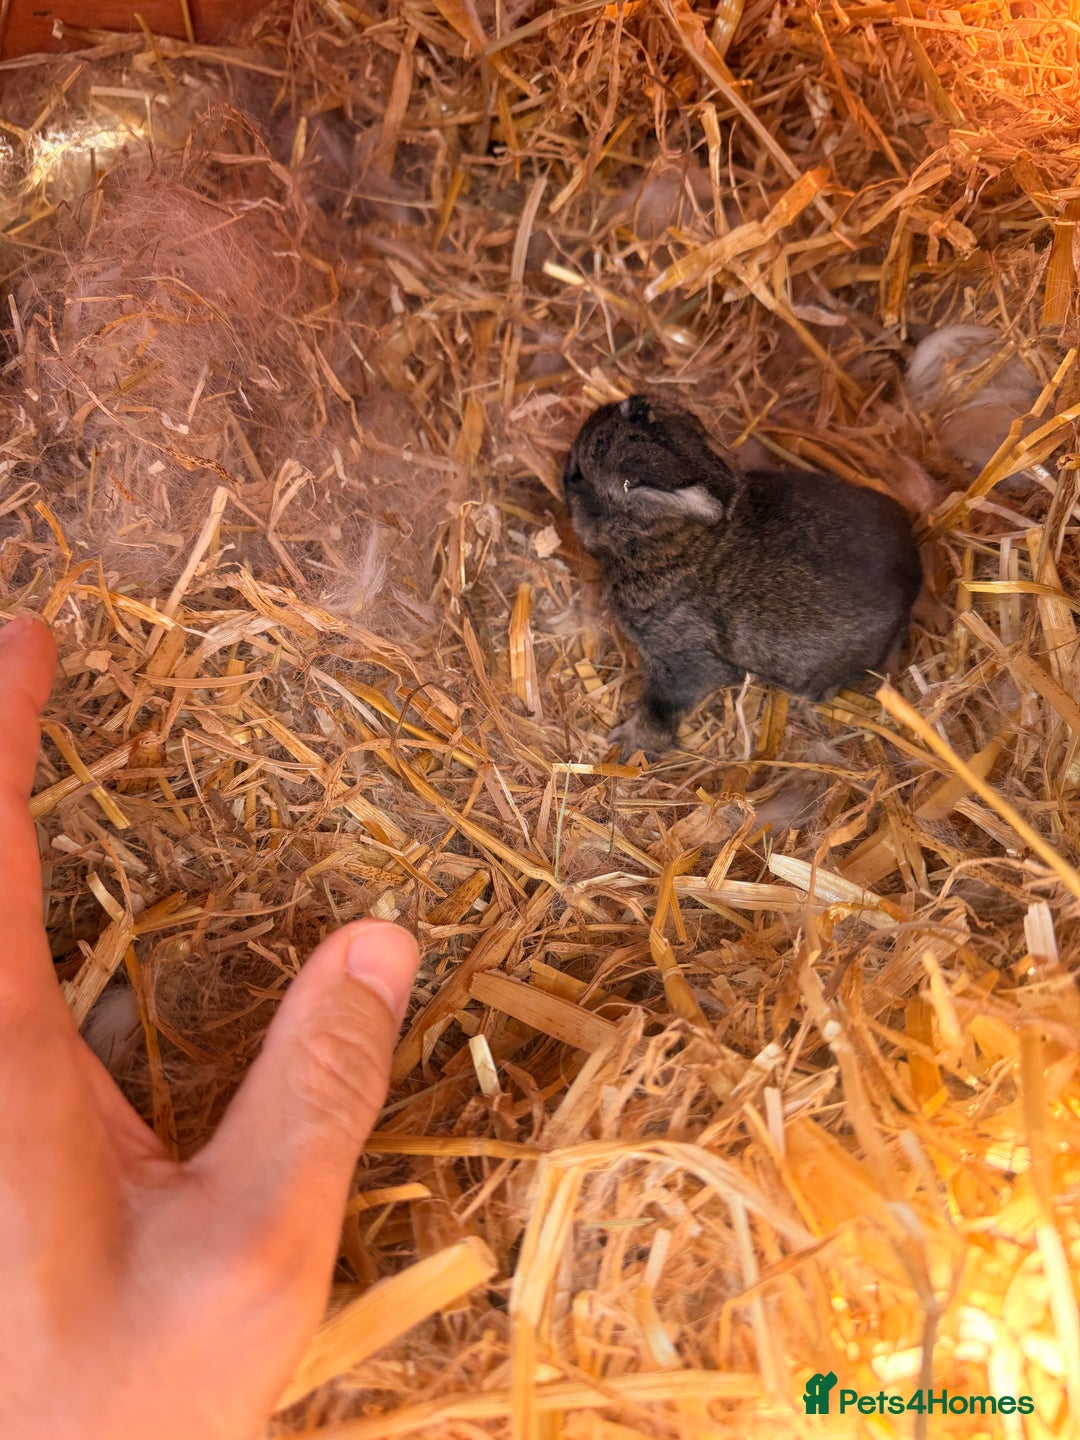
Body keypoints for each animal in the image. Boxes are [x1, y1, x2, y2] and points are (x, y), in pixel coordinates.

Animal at [562, 394, 923, 757]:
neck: (666, 542)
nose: (564, 470)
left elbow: (664, 707)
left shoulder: (677, 660)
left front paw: (627, 744)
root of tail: (913, 581)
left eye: (579, 474)